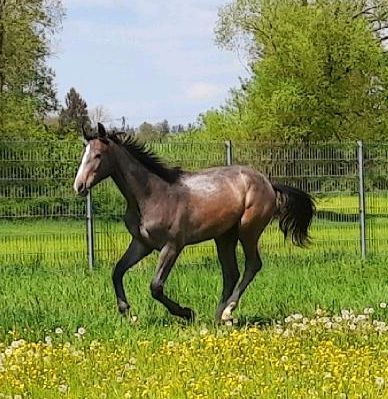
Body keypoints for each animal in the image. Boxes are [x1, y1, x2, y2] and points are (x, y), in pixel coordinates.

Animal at [73, 123, 316, 324]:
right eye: (83, 154)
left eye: (98, 155)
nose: (79, 186)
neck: (152, 195)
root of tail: (269, 184)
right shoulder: (142, 244)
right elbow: (117, 271)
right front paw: (127, 312)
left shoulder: (172, 246)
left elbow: (155, 287)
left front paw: (187, 313)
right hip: (224, 236)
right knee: (231, 273)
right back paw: (219, 315)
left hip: (248, 231)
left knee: (252, 265)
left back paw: (228, 311)